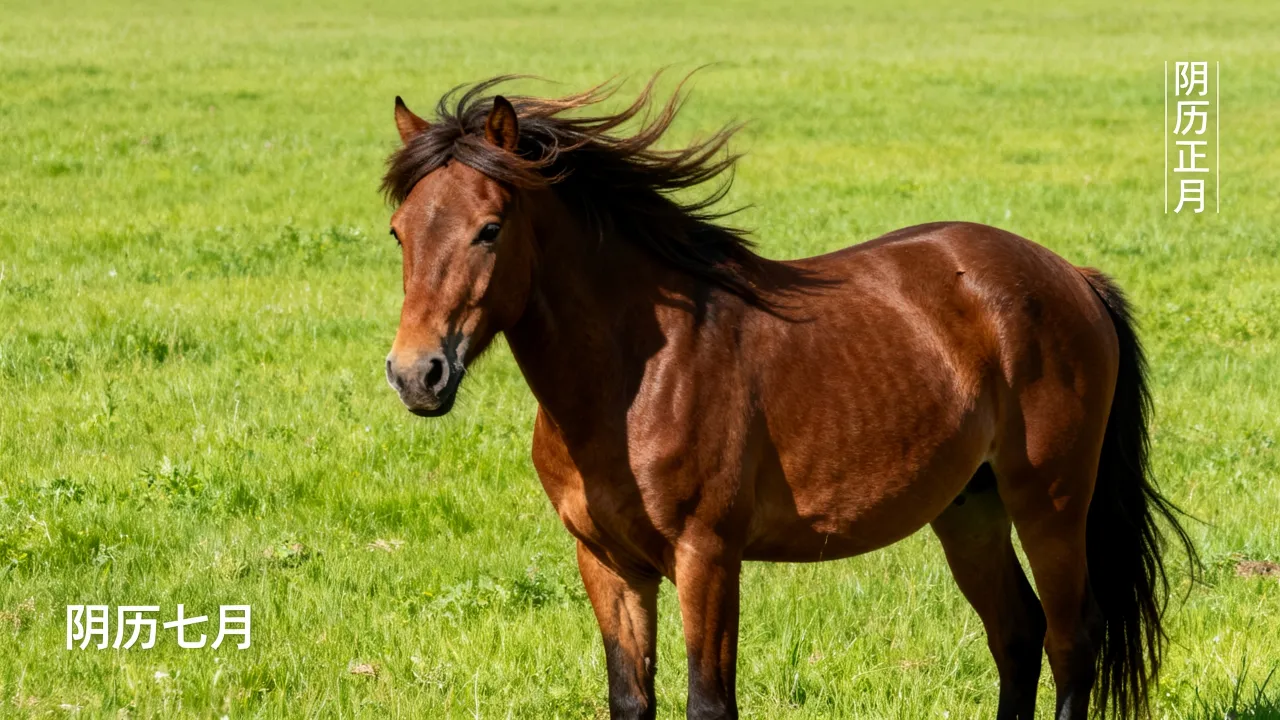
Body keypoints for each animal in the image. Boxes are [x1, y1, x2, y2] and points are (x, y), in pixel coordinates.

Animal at [379, 76, 1197, 719]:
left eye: (490, 229)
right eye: (398, 232)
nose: (417, 374)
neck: (634, 381)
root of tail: (1071, 276)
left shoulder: (708, 558)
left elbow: (709, 701)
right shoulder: (608, 564)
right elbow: (630, 698)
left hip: (1050, 504)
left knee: (1069, 640)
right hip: (971, 510)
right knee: (1017, 636)